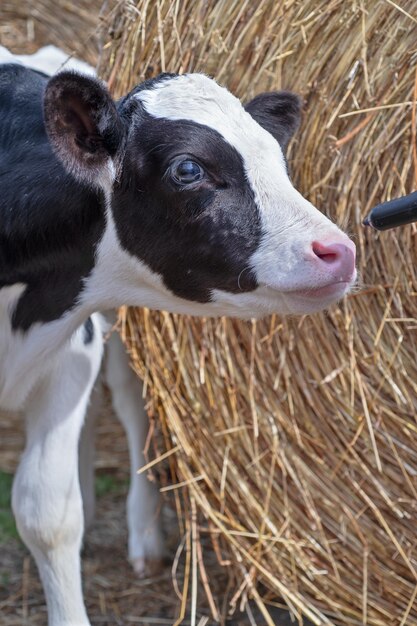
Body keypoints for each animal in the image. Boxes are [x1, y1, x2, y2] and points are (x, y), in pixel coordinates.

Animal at [0, 45, 358, 624]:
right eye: (188, 169)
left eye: (276, 159)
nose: (338, 250)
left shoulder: (72, 353)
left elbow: (47, 513)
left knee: (129, 406)